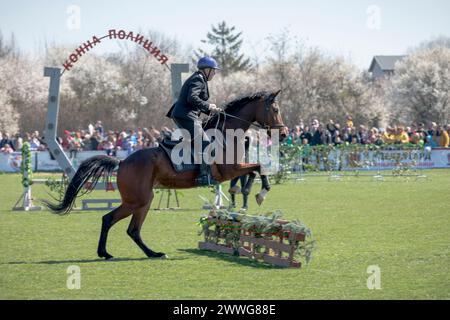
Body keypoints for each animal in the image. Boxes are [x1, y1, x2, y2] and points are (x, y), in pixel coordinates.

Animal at [45, 90, 288, 260]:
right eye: (275, 110)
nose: (284, 134)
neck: (228, 134)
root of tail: (122, 162)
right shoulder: (231, 170)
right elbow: (259, 167)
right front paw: (260, 193)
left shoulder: (237, 168)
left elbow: (256, 169)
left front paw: (248, 192)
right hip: (138, 200)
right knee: (111, 220)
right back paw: (110, 253)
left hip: (144, 200)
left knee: (132, 230)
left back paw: (150, 253)